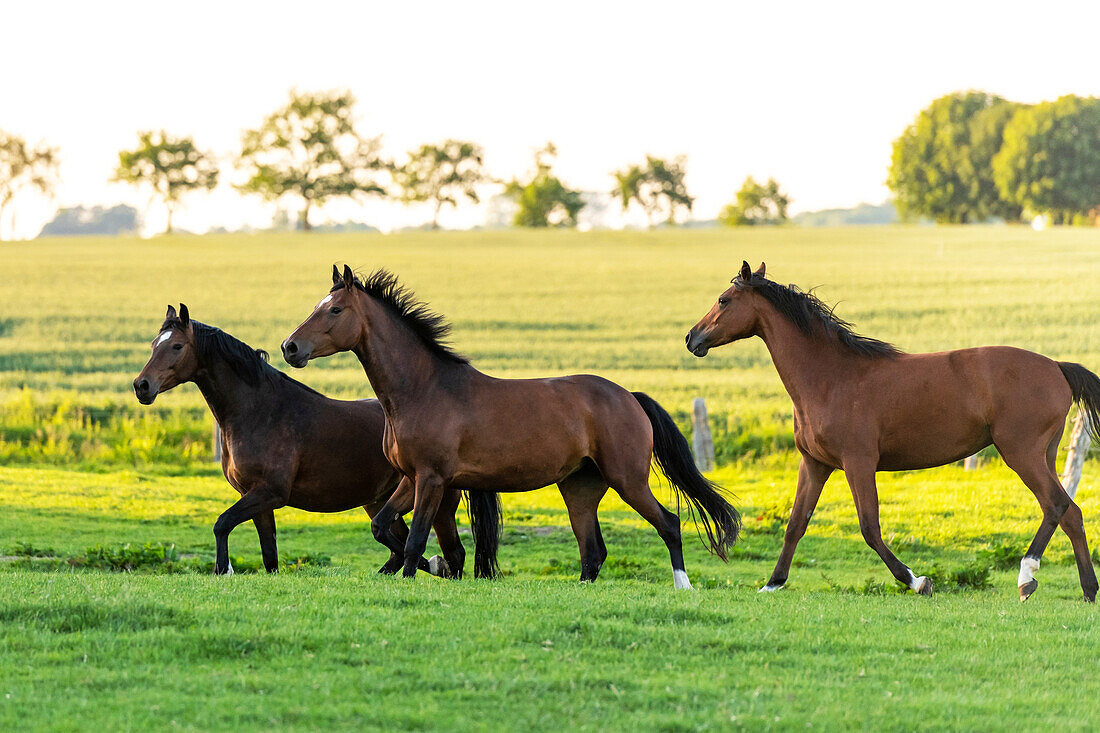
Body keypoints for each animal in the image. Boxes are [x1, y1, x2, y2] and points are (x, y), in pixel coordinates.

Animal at [132, 301, 503, 576]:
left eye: (177, 346)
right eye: (153, 345)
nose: (141, 386)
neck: (259, 411)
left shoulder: (269, 492)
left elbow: (221, 524)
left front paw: (222, 570)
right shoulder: (256, 497)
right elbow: (269, 556)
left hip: (436, 501)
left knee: (452, 554)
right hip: (380, 501)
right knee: (399, 548)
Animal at [277, 265, 739, 585]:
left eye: (335, 309)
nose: (289, 347)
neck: (423, 389)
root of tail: (628, 396)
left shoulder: (432, 478)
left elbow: (414, 540)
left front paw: (423, 570)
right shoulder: (412, 477)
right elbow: (382, 527)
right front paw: (436, 566)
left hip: (628, 480)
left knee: (669, 524)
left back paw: (683, 587)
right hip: (580, 487)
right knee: (593, 551)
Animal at [686, 260, 1100, 598]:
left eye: (723, 300)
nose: (692, 338)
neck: (830, 377)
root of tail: (1057, 366)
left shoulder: (858, 463)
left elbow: (869, 527)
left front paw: (918, 581)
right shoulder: (815, 465)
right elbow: (795, 524)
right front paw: (772, 583)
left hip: (1020, 453)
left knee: (1055, 504)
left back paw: (1026, 578)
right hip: (1044, 455)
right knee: (1072, 513)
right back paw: (1088, 591)